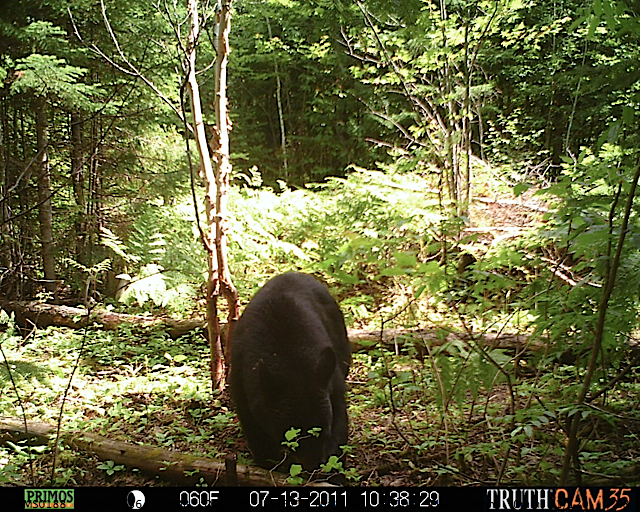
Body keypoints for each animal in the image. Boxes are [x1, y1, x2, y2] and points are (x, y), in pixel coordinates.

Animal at [229, 272, 350, 472]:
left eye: (324, 433)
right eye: (294, 439)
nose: (313, 466)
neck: (290, 363)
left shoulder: (331, 380)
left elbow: (340, 421)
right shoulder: (243, 384)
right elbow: (257, 432)